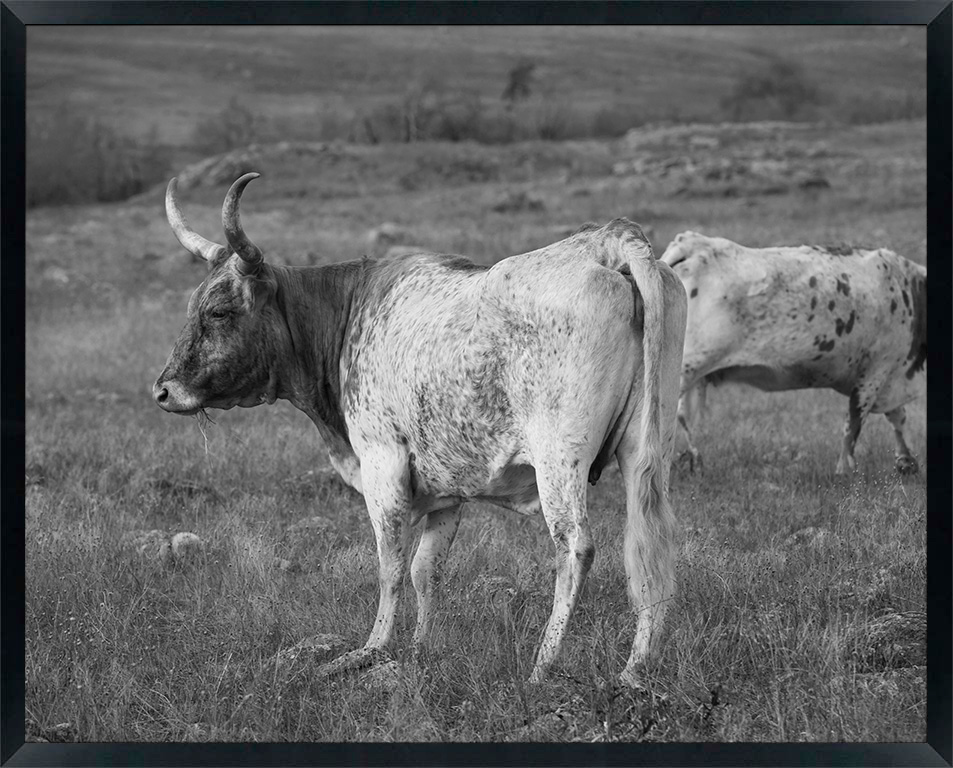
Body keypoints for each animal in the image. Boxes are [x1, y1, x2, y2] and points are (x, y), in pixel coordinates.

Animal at [153, 173, 688, 687]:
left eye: (220, 311)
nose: (162, 390)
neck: (348, 317)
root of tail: (604, 241)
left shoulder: (382, 463)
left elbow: (390, 566)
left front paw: (371, 649)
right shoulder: (446, 488)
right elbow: (424, 569)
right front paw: (419, 650)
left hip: (559, 458)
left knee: (575, 547)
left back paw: (543, 666)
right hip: (648, 453)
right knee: (652, 547)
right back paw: (635, 671)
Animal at [661, 231, 926, 476]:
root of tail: (694, 242)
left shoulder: (889, 377)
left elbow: (898, 417)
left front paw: (906, 460)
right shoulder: (875, 372)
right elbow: (853, 424)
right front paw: (845, 470)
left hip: (695, 375)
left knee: (685, 417)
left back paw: (693, 461)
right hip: (685, 369)